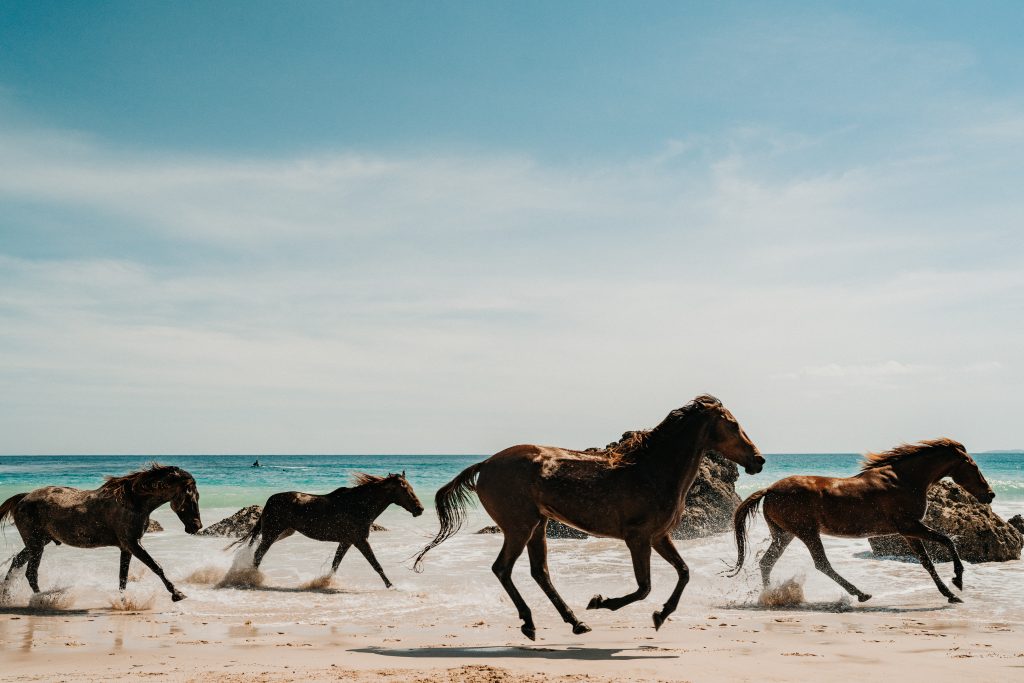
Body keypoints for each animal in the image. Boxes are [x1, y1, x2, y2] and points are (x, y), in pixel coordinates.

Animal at [0, 464, 202, 601]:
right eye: (191, 496)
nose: (197, 526)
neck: (133, 502)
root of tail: (23, 498)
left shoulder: (126, 547)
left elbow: (123, 577)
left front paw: (123, 602)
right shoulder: (133, 543)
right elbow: (156, 566)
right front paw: (177, 594)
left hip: (39, 542)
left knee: (18, 563)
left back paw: (9, 596)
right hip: (36, 545)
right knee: (31, 572)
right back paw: (42, 599)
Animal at [230, 471, 423, 588]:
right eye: (405, 490)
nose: (420, 509)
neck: (359, 505)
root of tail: (270, 500)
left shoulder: (346, 541)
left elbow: (335, 564)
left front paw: (325, 583)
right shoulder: (360, 541)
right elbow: (376, 565)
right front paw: (392, 586)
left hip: (283, 533)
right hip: (272, 533)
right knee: (258, 555)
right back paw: (252, 579)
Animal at [413, 395, 764, 640]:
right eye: (733, 425)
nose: (758, 460)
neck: (653, 470)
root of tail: (485, 464)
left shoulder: (660, 537)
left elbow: (684, 572)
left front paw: (661, 615)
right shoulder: (638, 539)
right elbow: (644, 587)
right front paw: (601, 602)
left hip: (538, 525)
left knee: (540, 572)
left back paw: (575, 622)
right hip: (519, 527)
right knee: (503, 569)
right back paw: (531, 623)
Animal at [729, 438, 994, 604]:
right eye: (973, 466)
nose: (990, 494)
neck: (904, 479)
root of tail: (770, 489)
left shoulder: (908, 532)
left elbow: (927, 562)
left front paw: (950, 594)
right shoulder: (910, 525)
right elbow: (947, 540)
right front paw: (958, 580)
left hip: (785, 534)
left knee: (767, 562)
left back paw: (769, 596)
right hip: (806, 532)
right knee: (821, 564)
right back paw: (861, 594)